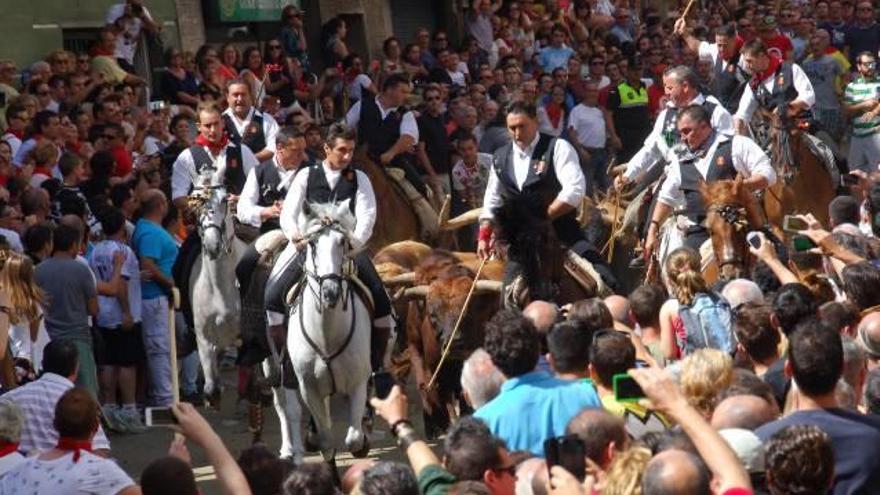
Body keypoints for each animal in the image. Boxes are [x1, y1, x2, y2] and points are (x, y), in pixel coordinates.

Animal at [190, 182, 248, 406]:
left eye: (225, 200)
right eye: (196, 200)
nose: (213, 246)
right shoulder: (203, 337)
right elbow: (211, 387)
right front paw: (211, 395)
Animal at [288, 199, 372, 462]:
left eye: (343, 242)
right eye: (312, 243)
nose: (331, 292)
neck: (326, 336)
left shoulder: (357, 382)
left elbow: (354, 439)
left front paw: (363, 440)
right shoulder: (309, 388)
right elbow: (326, 442)